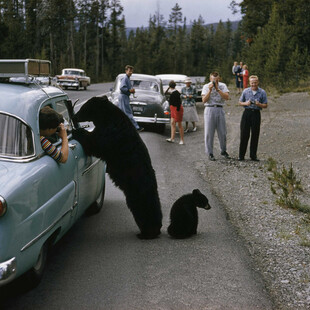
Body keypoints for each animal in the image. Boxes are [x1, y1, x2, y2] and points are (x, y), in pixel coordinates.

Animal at [72, 95, 162, 239]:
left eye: (83, 108)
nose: (74, 117)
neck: (106, 118)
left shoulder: (110, 134)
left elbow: (95, 143)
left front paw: (76, 131)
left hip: (136, 192)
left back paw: (147, 233)